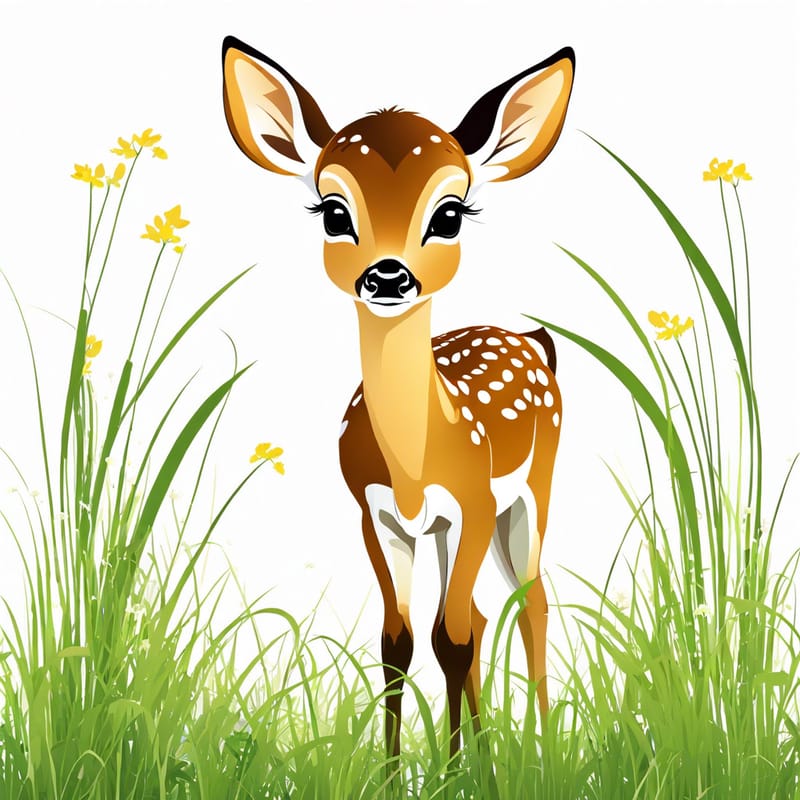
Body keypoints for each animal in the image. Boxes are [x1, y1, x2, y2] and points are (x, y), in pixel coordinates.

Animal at [221, 36, 574, 758]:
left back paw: (543, 752)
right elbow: (400, 642)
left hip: (533, 485)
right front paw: (401, 771)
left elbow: (452, 638)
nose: (387, 276)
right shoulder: (373, 512)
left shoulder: (472, 501)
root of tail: (534, 340)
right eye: (333, 210)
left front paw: (458, 770)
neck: (416, 463)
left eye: (450, 212)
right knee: (486, 612)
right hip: (449, 526)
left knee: (530, 601)